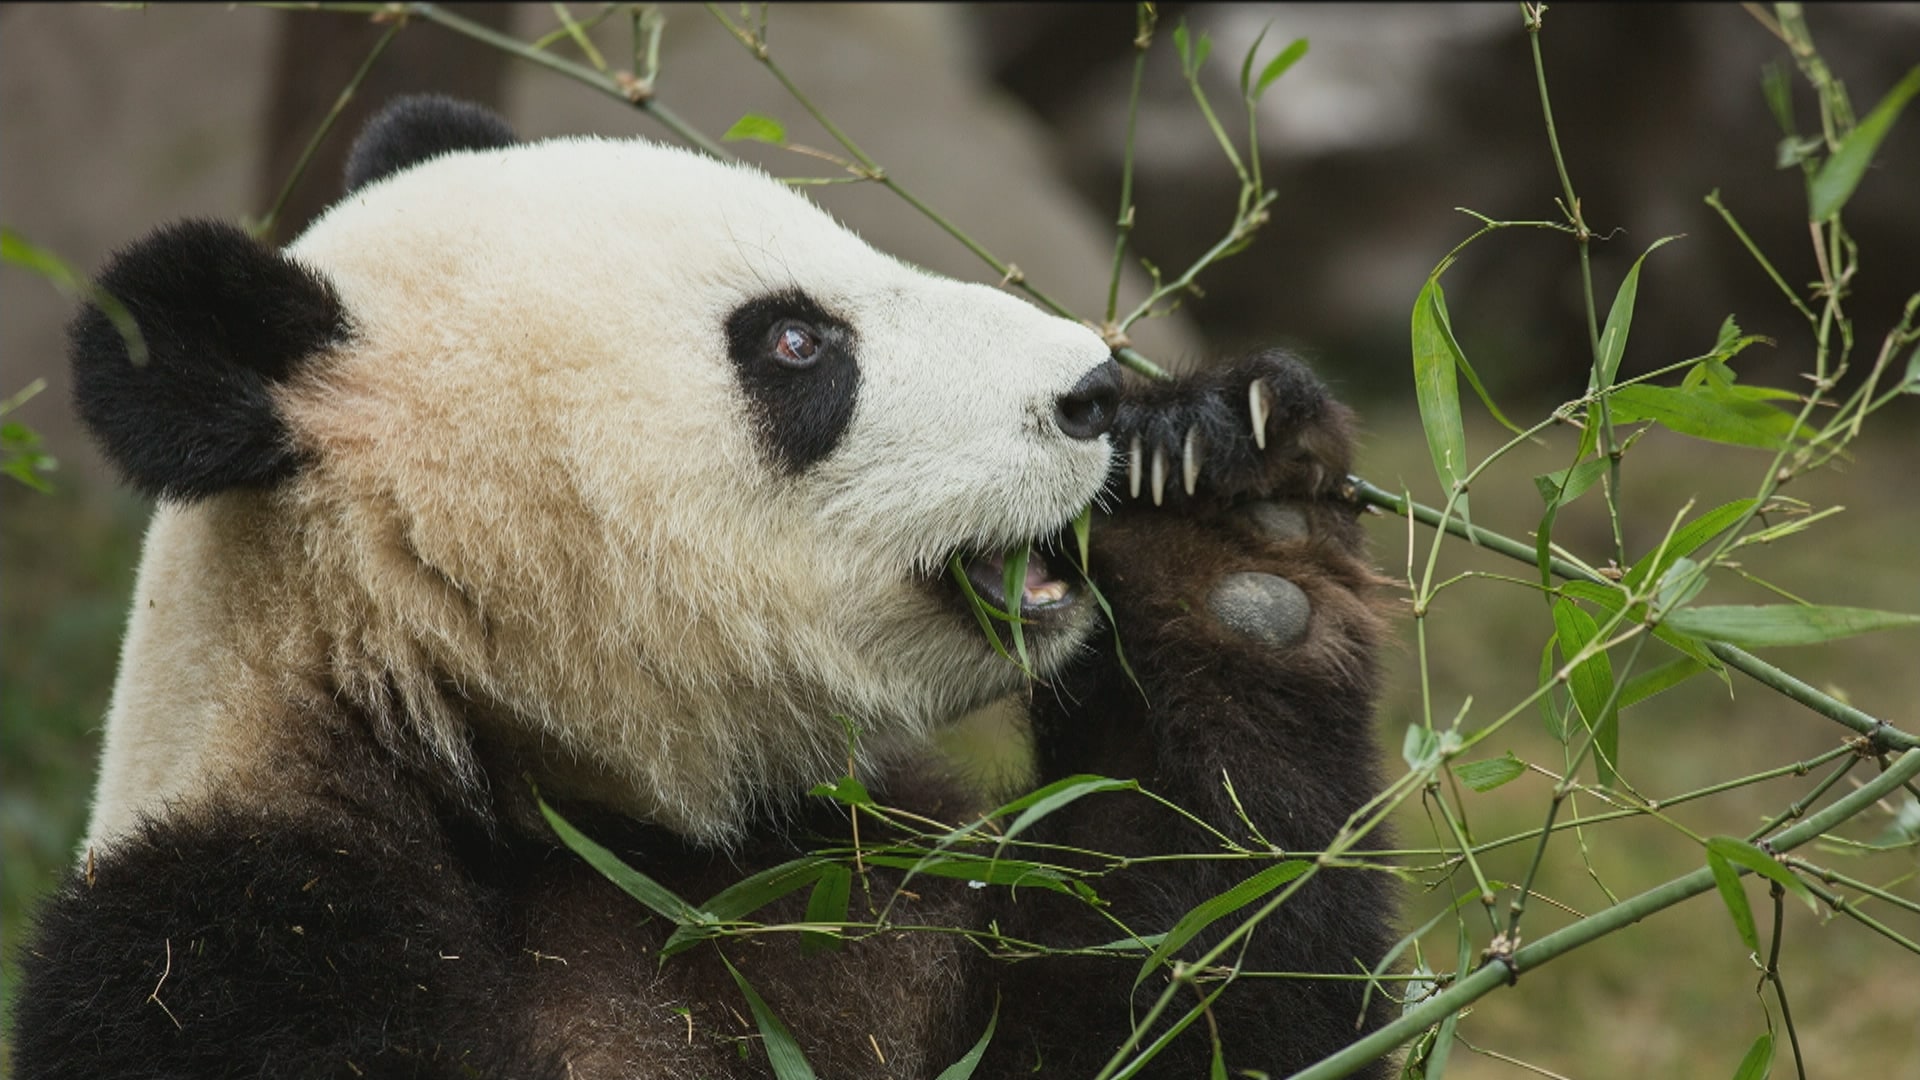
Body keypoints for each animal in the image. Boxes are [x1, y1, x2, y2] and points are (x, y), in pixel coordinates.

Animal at [15, 96, 1397, 1068]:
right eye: (795, 340)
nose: (1094, 389)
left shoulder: (856, 875)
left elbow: (1180, 990)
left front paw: (1226, 525)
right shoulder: (244, 952)